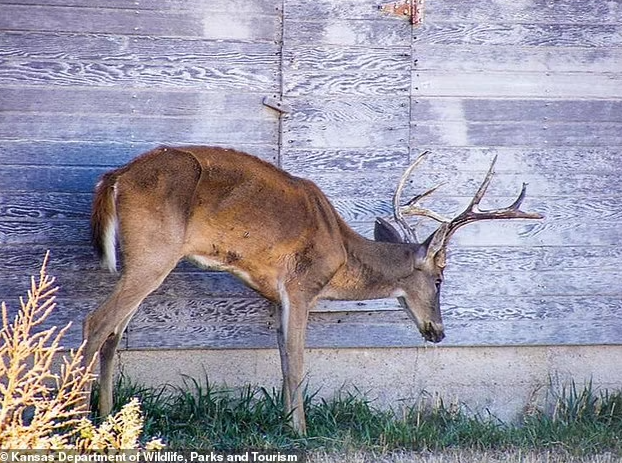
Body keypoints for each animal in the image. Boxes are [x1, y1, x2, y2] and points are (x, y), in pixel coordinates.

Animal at [84, 145, 544, 436]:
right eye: (440, 279)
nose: (438, 331)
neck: (340, 251)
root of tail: (114, 178)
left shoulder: (276, 297)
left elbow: (284, 358)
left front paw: (286, 422)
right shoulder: (302, 286)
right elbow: (299, 361)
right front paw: (301, 431)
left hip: (144, 259)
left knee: (114, 332)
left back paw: (109, 417)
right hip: (154, 251)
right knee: (97, 321)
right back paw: (77, 418)